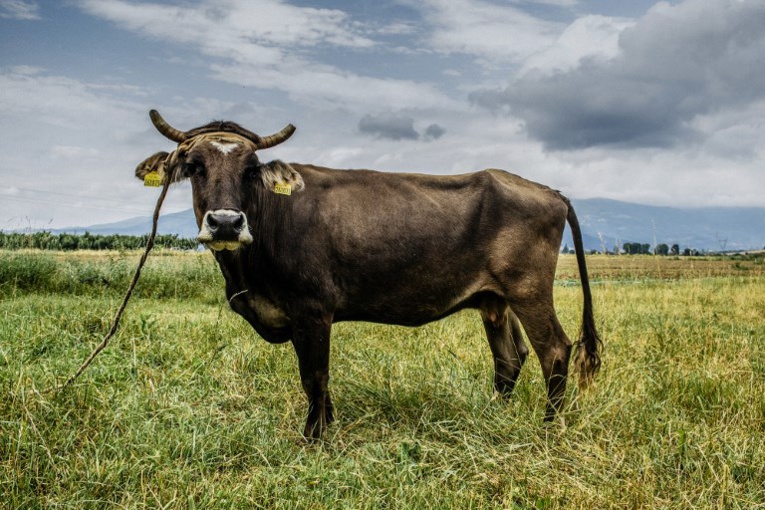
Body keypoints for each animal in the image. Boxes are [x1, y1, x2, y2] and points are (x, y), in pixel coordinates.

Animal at [135, 109, 601, 440]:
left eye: (251, 170)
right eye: (194, 166)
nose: (227, 223)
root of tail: (549, 191)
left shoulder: (312, 309)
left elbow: (314, 375)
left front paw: (314, 437)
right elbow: (317, 378)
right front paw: (327, 424)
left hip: (528, 289)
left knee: (555, 351)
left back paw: (548, 430)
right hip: (494, 299)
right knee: (509, 357)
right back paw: (492, 416)